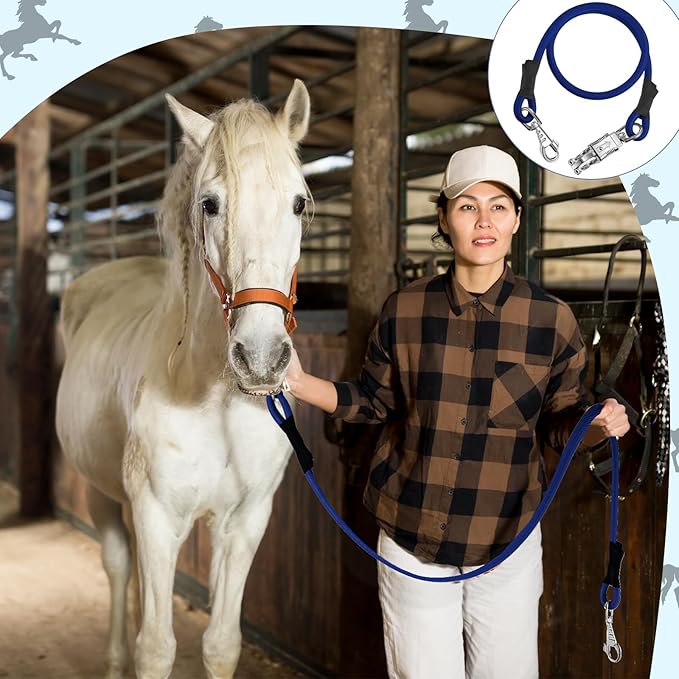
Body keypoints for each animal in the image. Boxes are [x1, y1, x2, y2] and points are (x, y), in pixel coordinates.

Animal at [55, 80, 311, 679]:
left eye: (299, 202)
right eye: (209, 203)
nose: (261, 358)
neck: (214, 400)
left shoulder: (244, 522)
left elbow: (220, 644)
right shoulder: (156, 515)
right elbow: (157, 647)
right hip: (102, 492)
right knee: (118, 566)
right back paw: (114, 662)